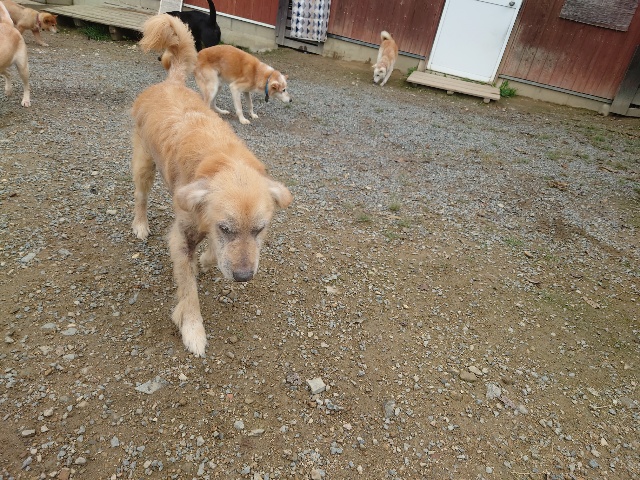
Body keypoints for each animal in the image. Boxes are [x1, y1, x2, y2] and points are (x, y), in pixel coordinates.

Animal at [133, 14, 292, 356]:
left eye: (259, 230)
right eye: (226, 228)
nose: (243, 277)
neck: (223, 162)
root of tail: (172, 83)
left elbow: (210, 255)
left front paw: (207, 262)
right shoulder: (181, 236)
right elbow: (188, 288)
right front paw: (192, 328)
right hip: (143, 162)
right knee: (140, 196)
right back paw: (139, 225)